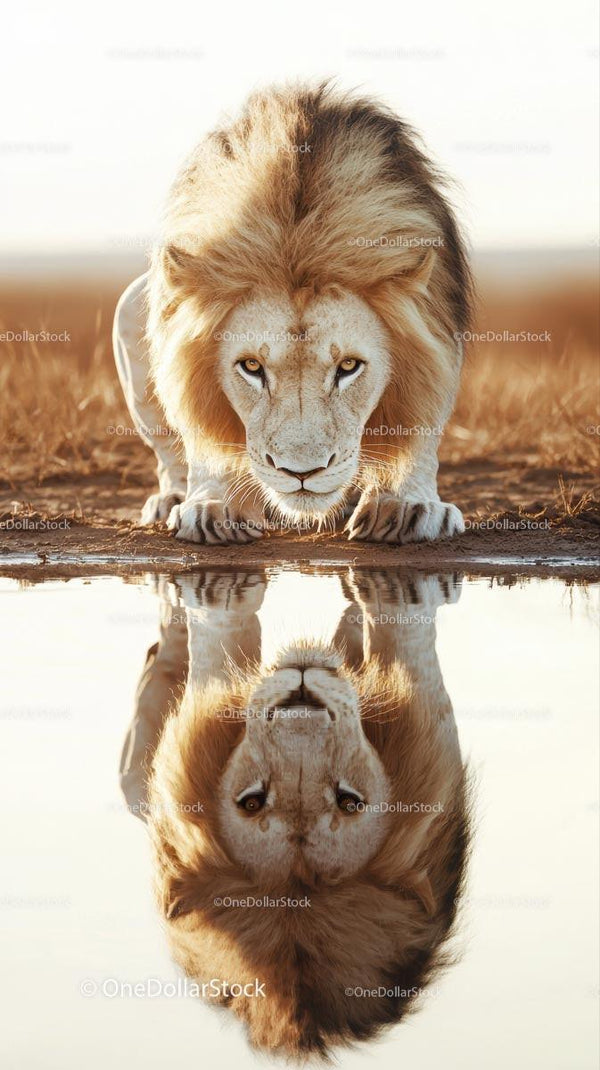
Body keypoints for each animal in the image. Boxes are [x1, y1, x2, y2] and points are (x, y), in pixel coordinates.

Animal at [113, 82, 473, 544]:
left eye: (349, 366)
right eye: (251, 366)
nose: (302, 473)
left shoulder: (438, 336)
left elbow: (422, 427)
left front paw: (406, 506)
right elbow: (201, 435)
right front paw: (213, 506)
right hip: (129, 312)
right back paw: (170, 498)